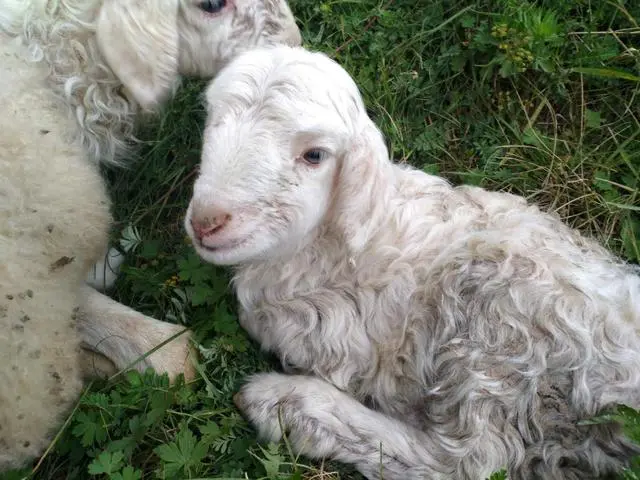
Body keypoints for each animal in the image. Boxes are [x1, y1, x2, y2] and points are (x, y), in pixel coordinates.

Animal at [181, 45, 640, 480]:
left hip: (502, 329)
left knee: (469, 460)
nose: (207, 221)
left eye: (314, 155)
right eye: (211, 124)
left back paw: (289, 405)